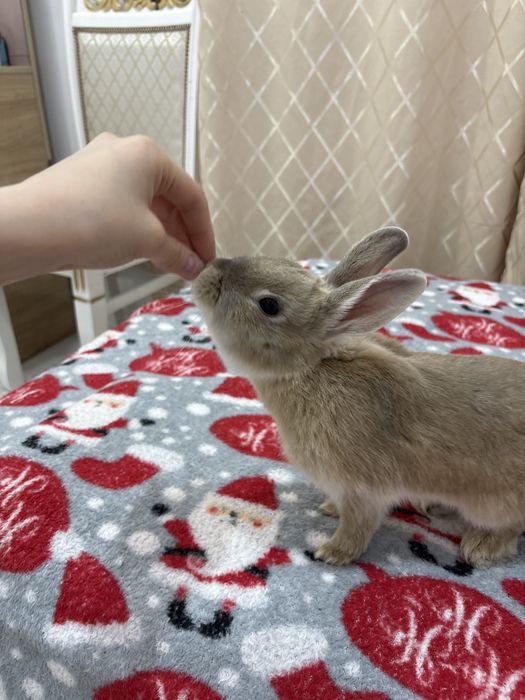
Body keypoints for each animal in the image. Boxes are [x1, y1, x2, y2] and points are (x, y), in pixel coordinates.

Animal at [192, 227, 525, 568]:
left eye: (269, 304)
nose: (208, 271)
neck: (311, 368)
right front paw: (329, 508)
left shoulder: (362, 490)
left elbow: (358, 525)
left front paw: (332, 553)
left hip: (493, 503)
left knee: (511, 526)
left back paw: (480, 545)